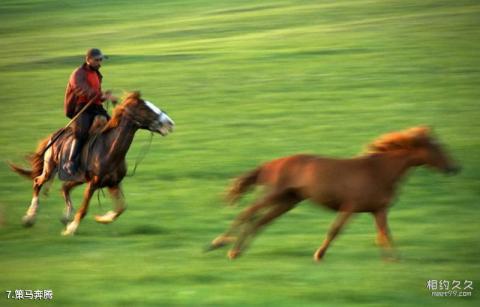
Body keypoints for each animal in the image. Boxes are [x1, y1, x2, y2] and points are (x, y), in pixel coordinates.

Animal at [8, 91, 174, 236]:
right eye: (144, 108)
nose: (170, 123)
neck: (109, 149)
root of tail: (54, 136)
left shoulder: (113, 183)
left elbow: (121, 208)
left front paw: (102, 218)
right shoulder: (93, 183)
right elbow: (84, 209)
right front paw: (71, 230)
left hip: (79, 178)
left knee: (64, 187)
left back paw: (66, 216)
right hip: (50, 169)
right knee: (38, 182)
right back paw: (29, 218)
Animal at [208, 127, 460, 262]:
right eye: (438, 148)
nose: (454, 168)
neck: (378, 171)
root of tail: (270, 164)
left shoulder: (378, 210)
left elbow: (384, 233)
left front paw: (394, 259)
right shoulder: (350, 206)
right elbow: (335, 230)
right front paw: (319, 255)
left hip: (287, 201)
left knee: (260, 221)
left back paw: (236, 250)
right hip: (275, 195)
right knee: (248, 212)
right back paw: (221, 244)